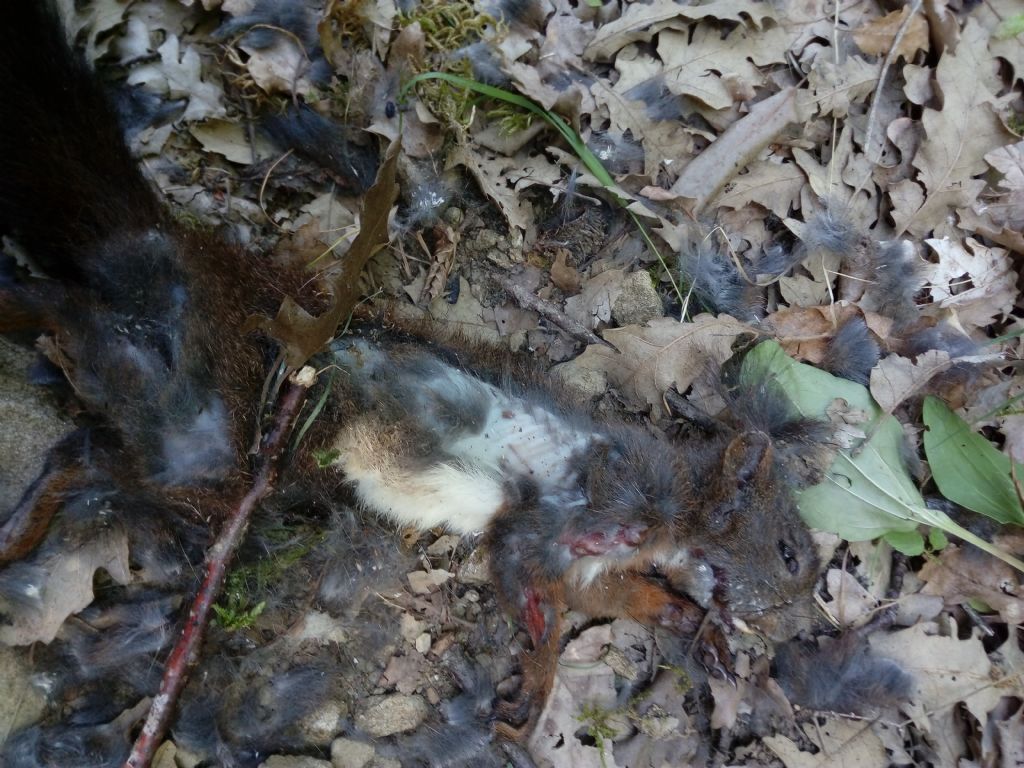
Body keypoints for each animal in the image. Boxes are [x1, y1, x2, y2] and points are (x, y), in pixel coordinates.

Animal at [0, 0, 825, 749]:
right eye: (789, 550)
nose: (792, 615)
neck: (669, 521)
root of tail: (158, 255)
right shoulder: (591, 492)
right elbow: (531, 569)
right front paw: (540, 680)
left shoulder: (589, 572)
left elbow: (603, 595)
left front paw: (692, 626)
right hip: (210, 438)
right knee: (82, 406)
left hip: (164, 413)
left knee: (78, 418)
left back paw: (18, 522)